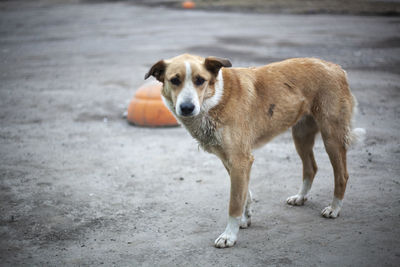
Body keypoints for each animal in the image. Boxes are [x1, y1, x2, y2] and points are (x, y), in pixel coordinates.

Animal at [145, 54, 366, 249]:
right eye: (174, 80)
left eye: (200, 80)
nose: (187, 108)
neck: (216, 99)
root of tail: (335, 67)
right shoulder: (230, 161)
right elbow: (245, 194)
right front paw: (245, 218)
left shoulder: (240, 160)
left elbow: (234, 202)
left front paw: (229, 236)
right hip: (301, 136)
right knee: (311, 167)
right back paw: (301, 197)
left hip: (331, 137)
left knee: (342, 175)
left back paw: (334, 208)